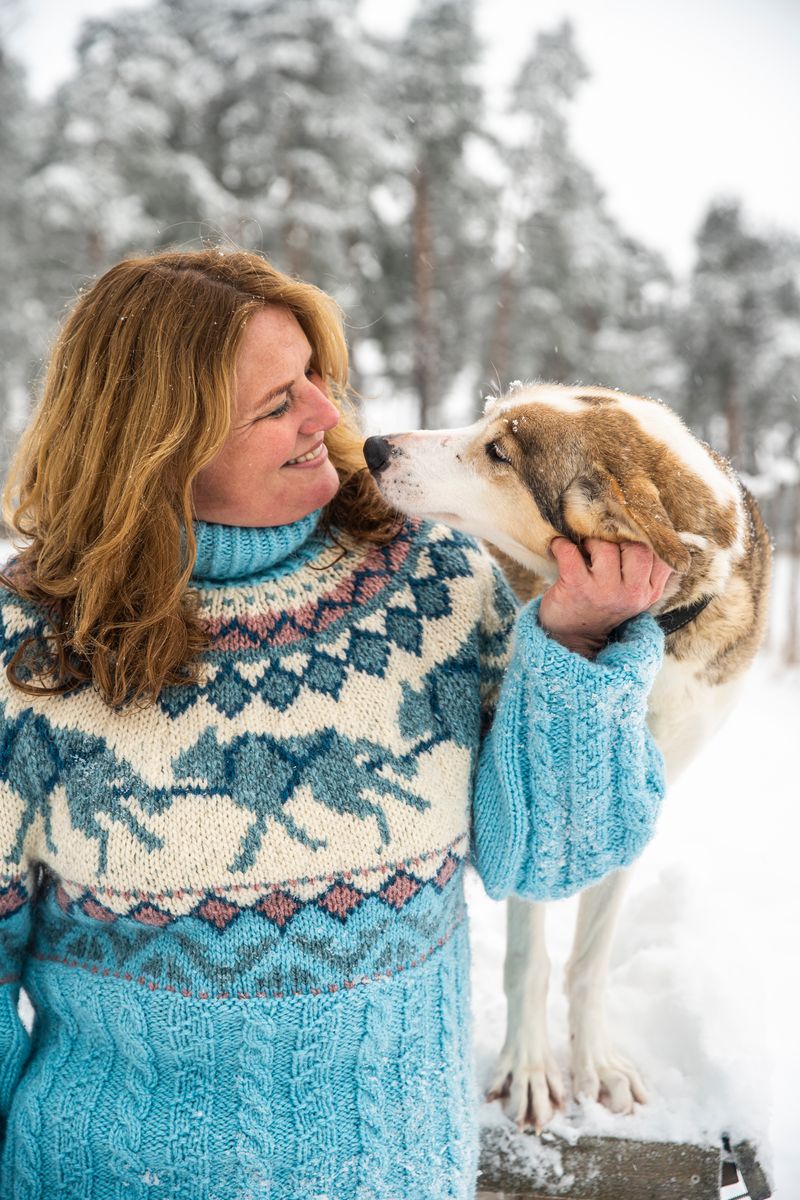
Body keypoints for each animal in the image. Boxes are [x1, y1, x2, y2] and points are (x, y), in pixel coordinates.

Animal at [362, 381, 767, 1132]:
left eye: (498, 452)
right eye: (486, 420)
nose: (374, 447)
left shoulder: (638, 797)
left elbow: (589, 958)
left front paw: (596, 1066)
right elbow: (531, 955)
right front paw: (528, 1068)